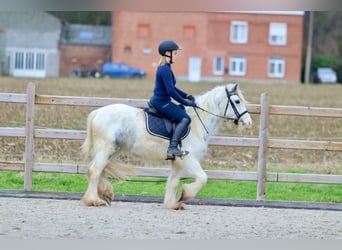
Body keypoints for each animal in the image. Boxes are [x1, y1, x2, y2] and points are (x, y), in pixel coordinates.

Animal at [80, 83, 251, 209]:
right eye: (237, 101)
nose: (248, 123)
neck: (197, 123)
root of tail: (97, 112)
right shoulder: (189, 159)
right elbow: (203, 178)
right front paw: (185, 194)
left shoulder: (178, 162)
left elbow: (173, 183)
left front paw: (172, 204)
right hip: (106, 149)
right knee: (95, 171)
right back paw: (94, 200)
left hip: (112, 150)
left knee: (100, 169)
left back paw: (106, 193)